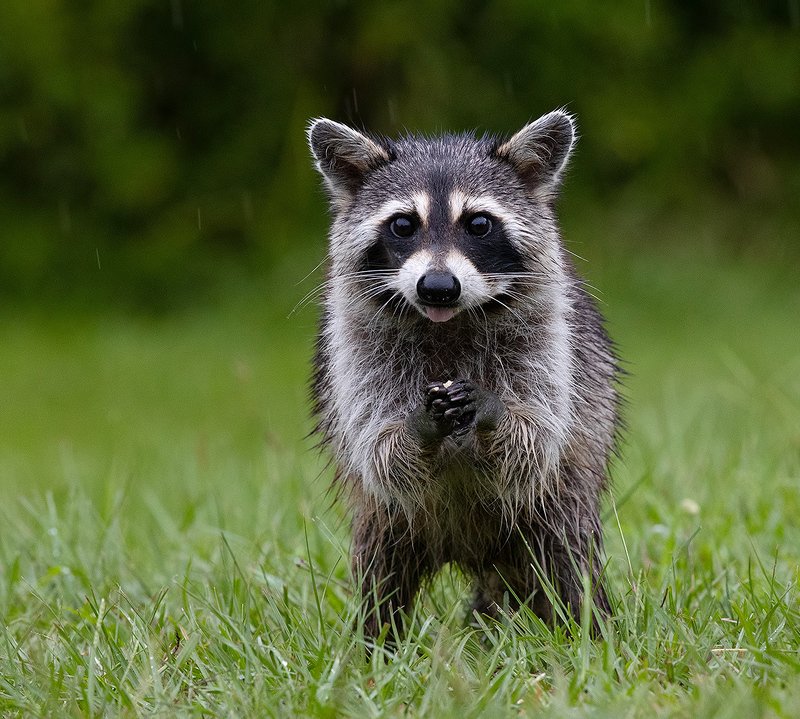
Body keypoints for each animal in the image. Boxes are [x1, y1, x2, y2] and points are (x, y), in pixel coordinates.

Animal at [304, 111, 620, 640]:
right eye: (403, 224)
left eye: (478, 224)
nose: (437, 286)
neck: (447, 323)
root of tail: (478, 555)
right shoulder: (356, 351)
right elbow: (377, 447)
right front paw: (415, 426)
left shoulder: (551, 342)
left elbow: (537, 437)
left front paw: (495, 411)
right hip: (390, 523)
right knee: (381, 569)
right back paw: (374, 643)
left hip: (560, 503)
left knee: (568, 555)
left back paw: (590, 631)